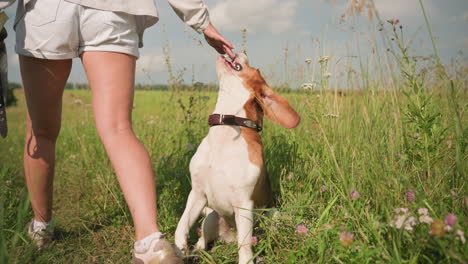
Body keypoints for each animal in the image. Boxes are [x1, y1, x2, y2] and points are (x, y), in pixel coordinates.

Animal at [175, 52, 300, 262]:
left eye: (256, 69)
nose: (242, 52)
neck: (227, 128)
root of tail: (228, 238)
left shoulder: (243, 204)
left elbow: (245, 244)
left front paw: (246, 260)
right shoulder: (197, 194)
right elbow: (182, 223)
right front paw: (178, 246)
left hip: (272, 215)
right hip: (211, 217)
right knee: (203, 241)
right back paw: (194, 251)